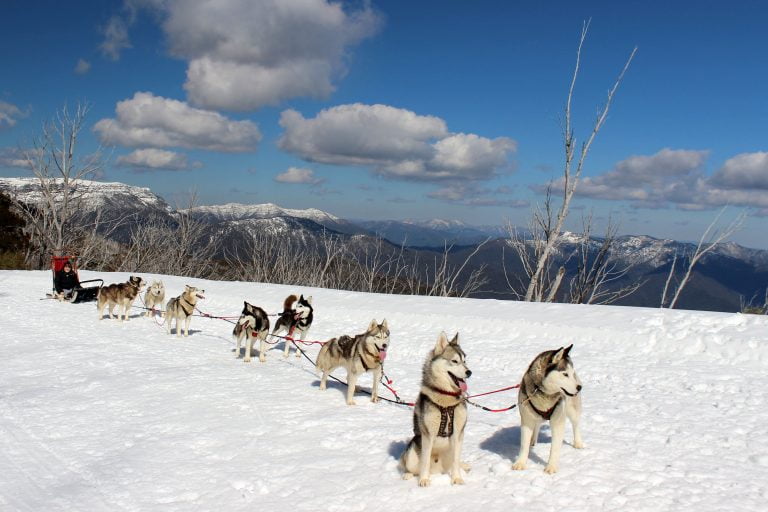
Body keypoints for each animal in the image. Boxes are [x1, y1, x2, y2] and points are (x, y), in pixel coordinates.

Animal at [400, 332, 472, 488]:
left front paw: (456, 478)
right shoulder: (428, 435)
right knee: (409, 466)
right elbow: (425, 461)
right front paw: (424, 480)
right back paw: (408, 474)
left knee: (455, 462)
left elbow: (456, 461)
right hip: (412, 453)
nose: (469, 372)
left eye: (465, 361)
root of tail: (437, 470)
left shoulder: (458, 433)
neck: (446, 399)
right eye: (454, 361)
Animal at [512, 346, 584, 474]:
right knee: (537, 425)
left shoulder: (558, 421)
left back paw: (578, 443)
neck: (544, 393)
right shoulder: (527, 419)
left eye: (571, 373)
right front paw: (520, 463)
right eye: (565, 374)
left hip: (573, 410)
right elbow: (524, 445)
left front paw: (551, 467)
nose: (579, 387)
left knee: (576, 425)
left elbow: (555, 447)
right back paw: (533, 440)